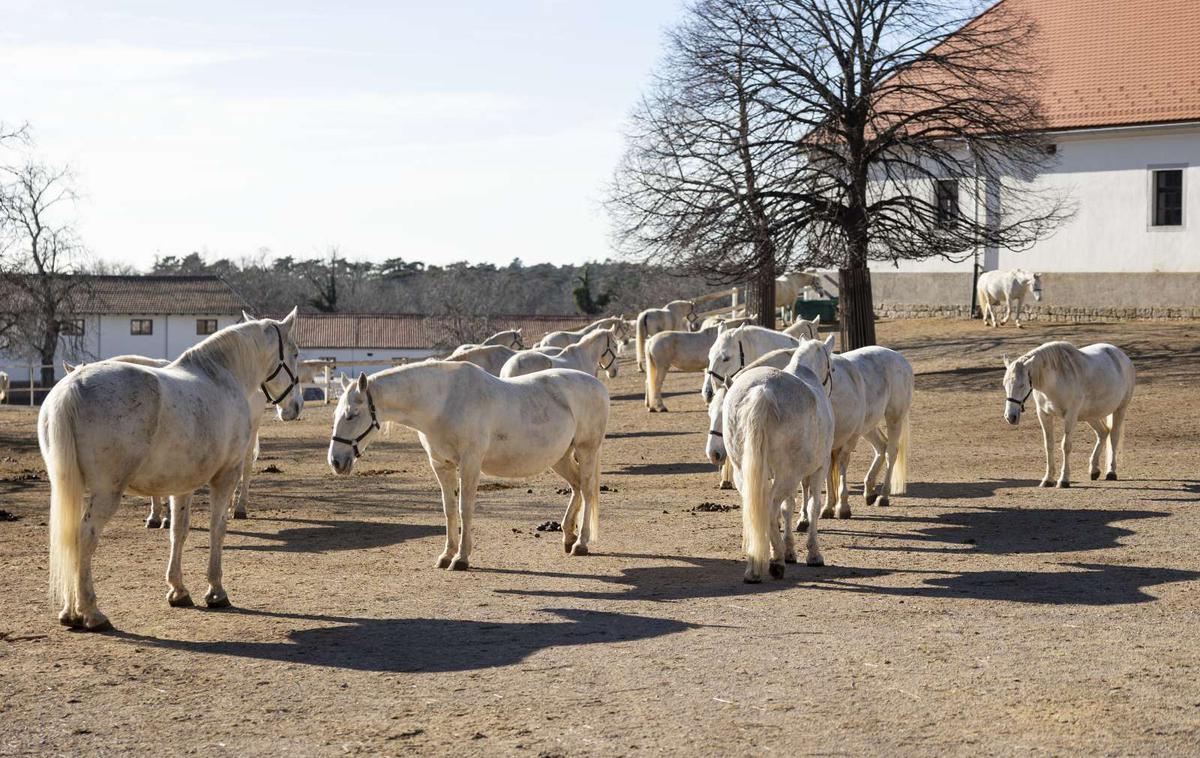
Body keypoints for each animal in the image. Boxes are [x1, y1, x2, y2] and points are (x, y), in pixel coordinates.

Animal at [39, 311, 302, 628]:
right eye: (296, 353)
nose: (295, 407)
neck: (222, 376)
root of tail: (72, 386)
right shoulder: (225, 476)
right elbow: (217, 529)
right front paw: (216, 591)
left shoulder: (182, 485)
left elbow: (179, 531)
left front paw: (178, 590)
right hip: (106, 492)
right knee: (85, 536)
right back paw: (91, 612)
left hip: (70, 487)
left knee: (67, 538)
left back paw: (70, 611)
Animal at [328, 362, 609, 568]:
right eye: (336, 414)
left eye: (352, 415)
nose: (336, 461)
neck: (443, 403)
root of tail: (597, 385)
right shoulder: (441, 466)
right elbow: (450, 510)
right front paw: (446, 555)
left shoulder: (470, 464)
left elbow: (465, 509)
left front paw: (461, 558)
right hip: (560, 457)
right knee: (576, 487)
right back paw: (568, 536)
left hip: (586, 450)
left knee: (586, 490)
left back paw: (581, 543)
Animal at [705, 355, 830, 580]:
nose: (713, 454)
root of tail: (762, 389)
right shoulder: (819, 470)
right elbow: (812, 507)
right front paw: (813, 554)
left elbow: (787, 509)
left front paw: (789, 550)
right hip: (788, 475)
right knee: (770, 507)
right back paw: (775, 562)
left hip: (745, 474)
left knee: (759, 508)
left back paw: (757, 563)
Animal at [787, 338, 907, 527]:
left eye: (834, 369)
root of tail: (898, 357)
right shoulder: (827, 444)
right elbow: (828, 471)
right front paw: (827, 507)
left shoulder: (849, 439)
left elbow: (841, 465)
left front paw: (842, 507)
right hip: (867, 426)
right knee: (881, 447)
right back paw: (869, 490)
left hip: (894, 418)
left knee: (891, 452)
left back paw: (883, 496)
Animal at [1003, 343, 1132, 489]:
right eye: (1004, 384)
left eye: (1022, 385)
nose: (1010, 417)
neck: (1055, 382)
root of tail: (1121, 355)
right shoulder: (1044, 415)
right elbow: (1049, 445)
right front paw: (1048, 479)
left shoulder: (1071, 416)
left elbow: (1066, 445)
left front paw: (1064, 480)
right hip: (1090, 416)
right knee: (1103, 433)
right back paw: (1094, 470)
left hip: (1120, 409)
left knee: (1114, 437)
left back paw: (1111, 472)